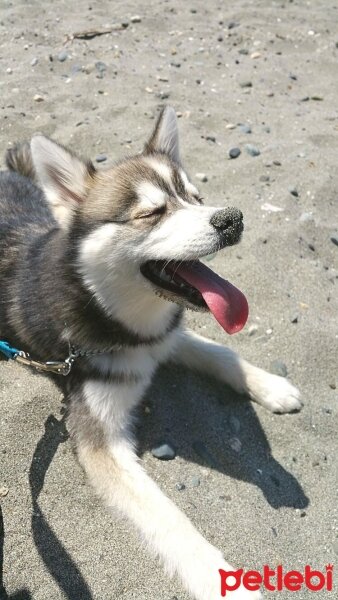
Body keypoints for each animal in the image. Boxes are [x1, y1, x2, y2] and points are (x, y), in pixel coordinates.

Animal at [0, 109, 302, 600]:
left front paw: (272, 386)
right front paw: (223, 581)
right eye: (152, 212)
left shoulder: (163, 334)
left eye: (196, 198)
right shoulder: (100, 438)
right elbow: (171, 519)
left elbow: (221, 352)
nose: (232, 218)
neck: (109, 308)